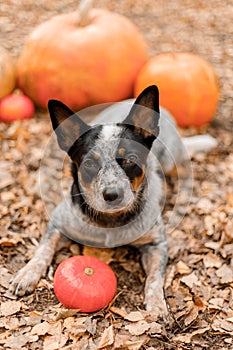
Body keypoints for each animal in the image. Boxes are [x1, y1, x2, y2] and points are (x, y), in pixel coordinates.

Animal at [9, 85, 217, 320]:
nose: (111, 194)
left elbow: (155, 278)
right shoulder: (58, 223)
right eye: (89, 163)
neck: (111, 220)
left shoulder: (156, 244)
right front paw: (27, 273)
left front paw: (157, 305)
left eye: (130, 159)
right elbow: (43, 249)